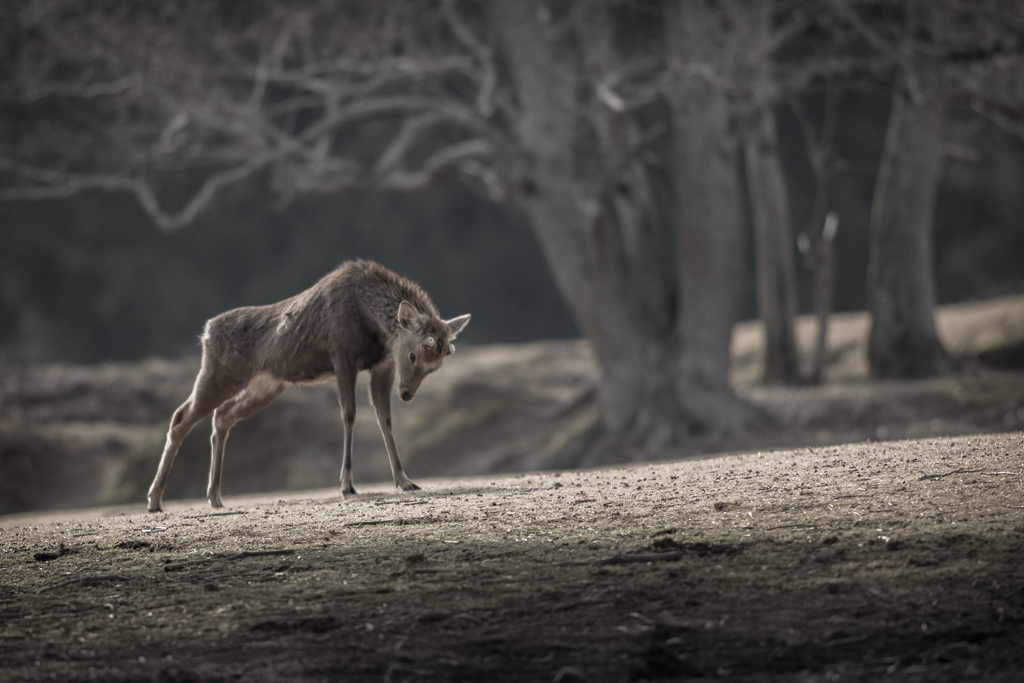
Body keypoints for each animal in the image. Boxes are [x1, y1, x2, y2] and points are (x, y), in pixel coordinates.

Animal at [145, 262, 471, 511]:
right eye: (413, 354)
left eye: (436, 366)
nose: (406, 394)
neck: (373, 324)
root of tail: (206, 331)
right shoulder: (342, 354)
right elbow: (349, 414)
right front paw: (346, 484)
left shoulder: (382, 364)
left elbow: (385, 419)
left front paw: (404, 481)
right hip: (218, 373)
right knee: (181, 417)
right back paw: (155, 500)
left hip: (267, 385)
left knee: (222, 416)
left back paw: (214, 497)